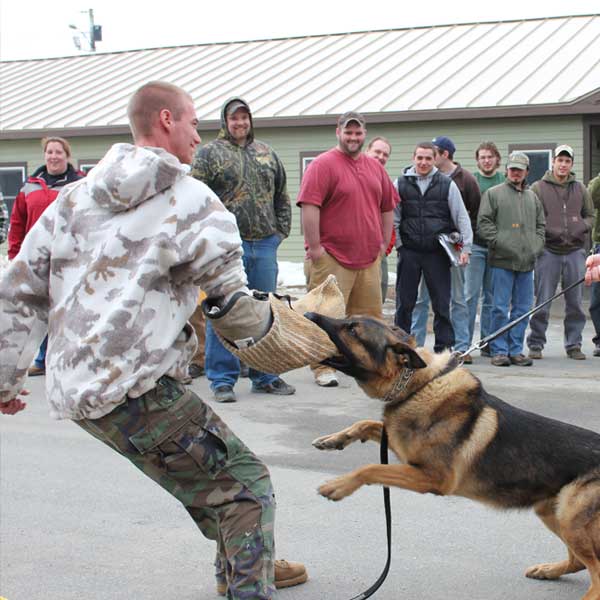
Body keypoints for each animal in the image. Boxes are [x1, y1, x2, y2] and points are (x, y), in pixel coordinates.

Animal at [308, 312, 600, 596]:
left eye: (353, 330)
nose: (310, 315)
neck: (418, 384)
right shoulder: (404, 450)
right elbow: (367, 424)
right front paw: (333, 440)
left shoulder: (433, 479)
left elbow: (372, 468)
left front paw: (337, 485)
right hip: (553, 513)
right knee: (578, 562)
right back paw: (549, 570)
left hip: (569, 519)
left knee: (595, 574)